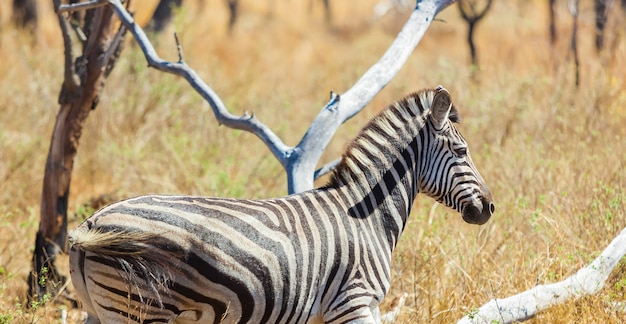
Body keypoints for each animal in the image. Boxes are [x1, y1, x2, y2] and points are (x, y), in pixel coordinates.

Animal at [68, 86, 492, 324]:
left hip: (100, 311)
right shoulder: (354, 302)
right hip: (140, 310)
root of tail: (91, 222)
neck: (368, 219)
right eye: (461, 151)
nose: (489, 207)